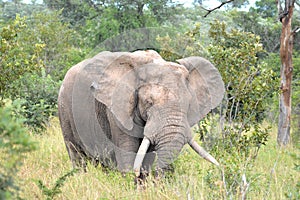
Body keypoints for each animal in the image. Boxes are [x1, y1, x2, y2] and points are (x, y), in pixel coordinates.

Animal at [57, 49, 224, 177]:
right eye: (148, 102)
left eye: (188, 104)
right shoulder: (118, 111)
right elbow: (127, 152)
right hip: (64, 108)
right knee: (77, 156)